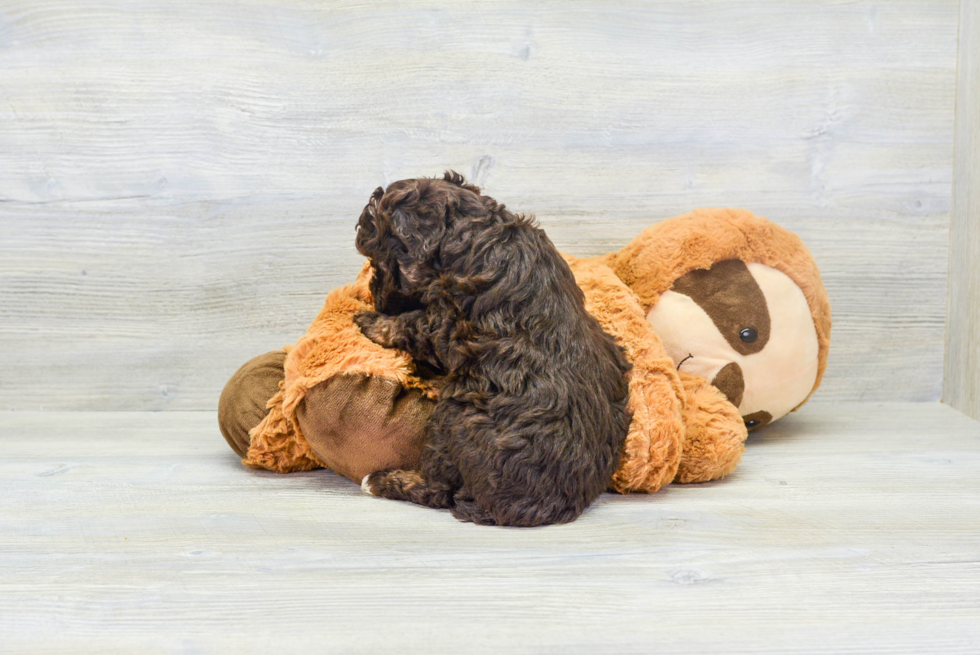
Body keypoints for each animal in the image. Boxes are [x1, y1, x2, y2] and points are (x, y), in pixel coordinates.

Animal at [356, 173, 632, 528]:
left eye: (377, 259)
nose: (374, 294)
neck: (472, 236)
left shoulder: (444, 321)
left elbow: (410, 324)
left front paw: (372, 322)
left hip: (455, 418)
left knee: (438, 489)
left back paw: (380, 481)